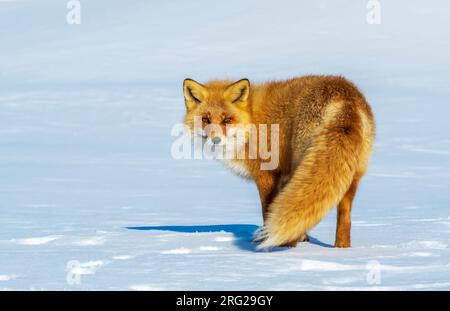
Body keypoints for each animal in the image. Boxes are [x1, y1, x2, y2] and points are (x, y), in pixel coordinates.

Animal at [181, 77, 374, 250]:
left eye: (227, 120)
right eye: (205, 120)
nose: (215, 140)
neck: (251, 122)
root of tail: (345, 98)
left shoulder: (266, 174)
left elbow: (268, 210)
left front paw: (266, 241)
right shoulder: (284, 177)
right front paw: (302, 238)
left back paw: (288, 244)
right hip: (350, 174)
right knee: (344, 215)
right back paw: (341, 248)